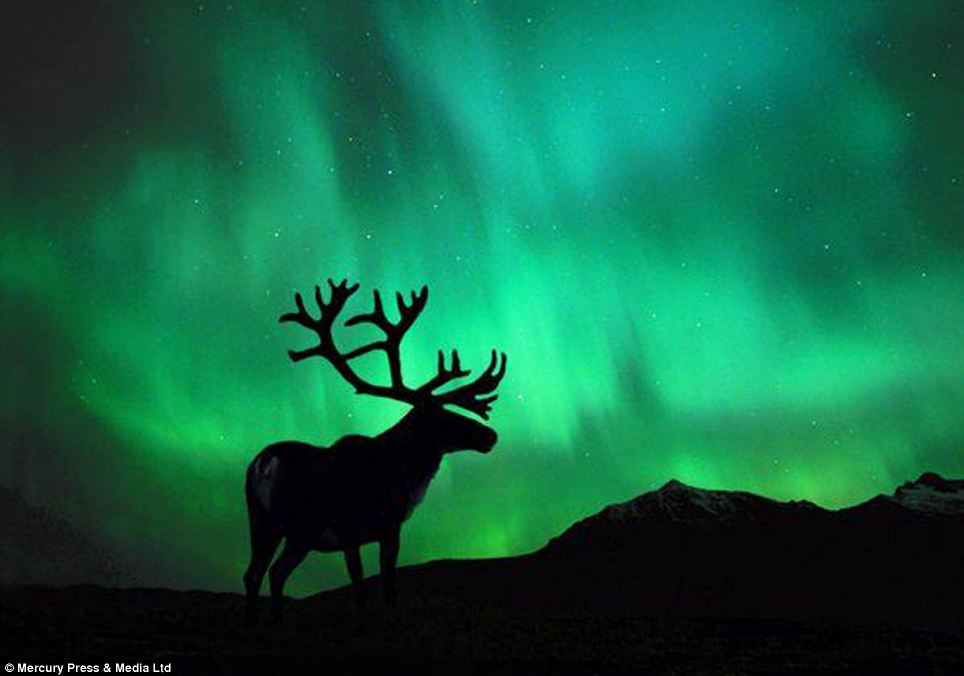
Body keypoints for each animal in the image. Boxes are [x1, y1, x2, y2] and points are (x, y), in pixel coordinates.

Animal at [244, 278, 507, 623]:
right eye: (441, 415)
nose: (490, 435)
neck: (406, 471)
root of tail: (264, 463)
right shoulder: (375, 526)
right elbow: (377, 585)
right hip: (299, 529)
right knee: (271, 573)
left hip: (264, 524)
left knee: (258, 573)